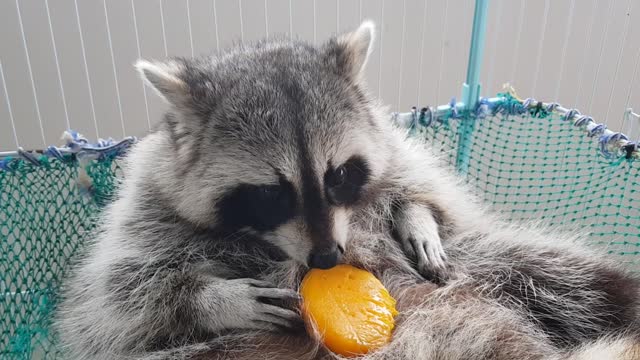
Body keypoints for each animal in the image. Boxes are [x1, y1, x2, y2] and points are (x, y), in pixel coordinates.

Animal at [56, 23, 640, 360]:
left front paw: (416, 218)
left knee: (580, 280)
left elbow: (430, 196)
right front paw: (215, 299)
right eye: (271, 194)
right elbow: (123, 300)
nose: (327, 259)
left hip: (492, 267)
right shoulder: (147, 213)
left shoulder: (396, 151)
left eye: (339, 175)